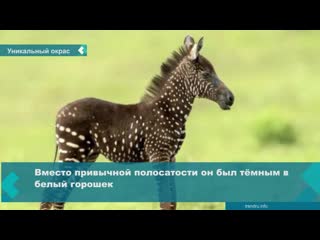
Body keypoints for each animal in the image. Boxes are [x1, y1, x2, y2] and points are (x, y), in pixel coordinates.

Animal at [40, 35, 235, 210]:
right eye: (206, 74)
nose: (231, 98)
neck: (169, 111)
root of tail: (60, 111)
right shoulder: (159, 154)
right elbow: (165, 202)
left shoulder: (171, 156)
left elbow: (173, 202)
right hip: (72, 152)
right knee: (53, 194)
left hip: (87, 155)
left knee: (57, 196)